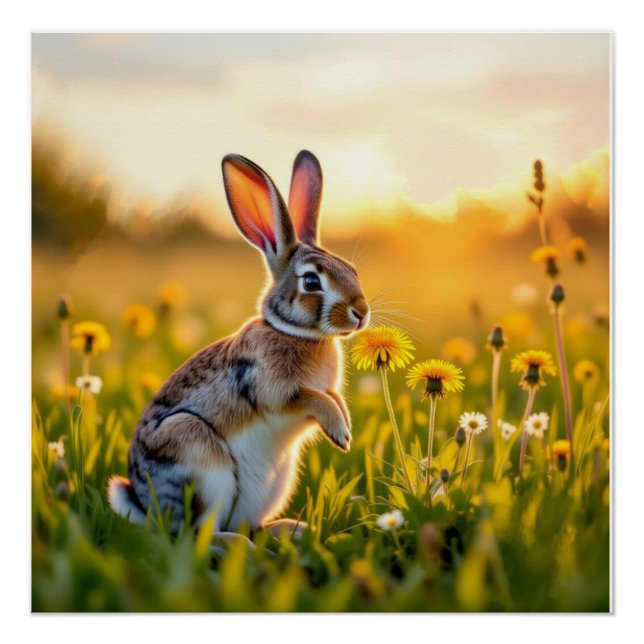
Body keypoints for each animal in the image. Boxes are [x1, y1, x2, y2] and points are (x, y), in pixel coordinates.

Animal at [108, 150, 370, 542]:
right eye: (311, 282)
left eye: (352, 270)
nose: (362, 313)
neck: (296, 333)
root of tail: (145, 505)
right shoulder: (275, 390)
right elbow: (311, 399)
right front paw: (340, 433)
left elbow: (333, 398)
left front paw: (345, 426)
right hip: (196, 456)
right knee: (198, 535)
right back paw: (240, 544)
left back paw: (290, 530)